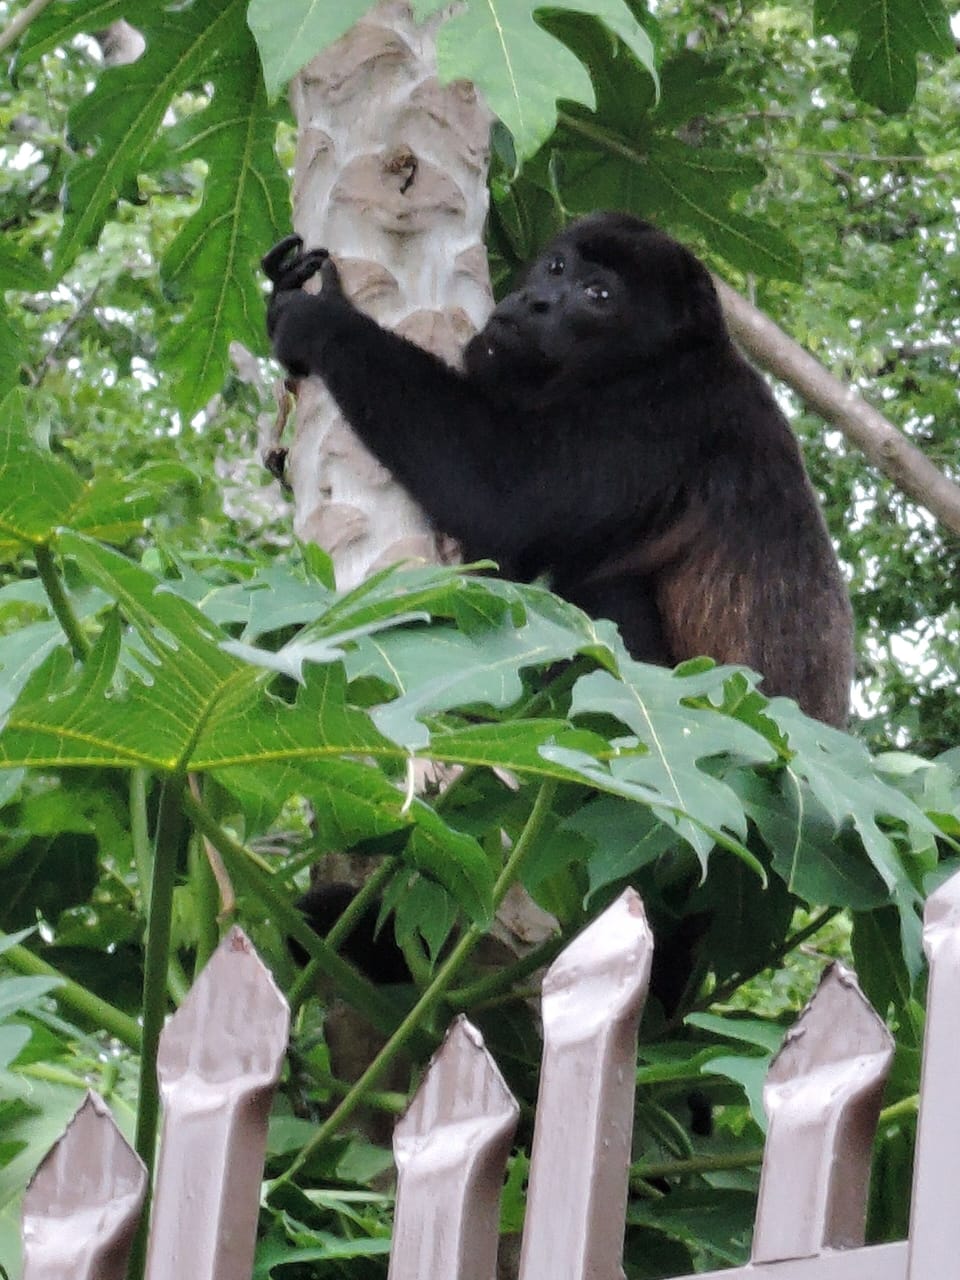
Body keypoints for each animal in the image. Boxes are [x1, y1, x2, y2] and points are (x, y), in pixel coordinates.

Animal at [262, 212, 853, 725]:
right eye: (556, 267)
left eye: (599, 295)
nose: (538, 301)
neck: (647, 361)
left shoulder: (663, 417)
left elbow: (501, 502)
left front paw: (319, 319)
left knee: (607, 594)